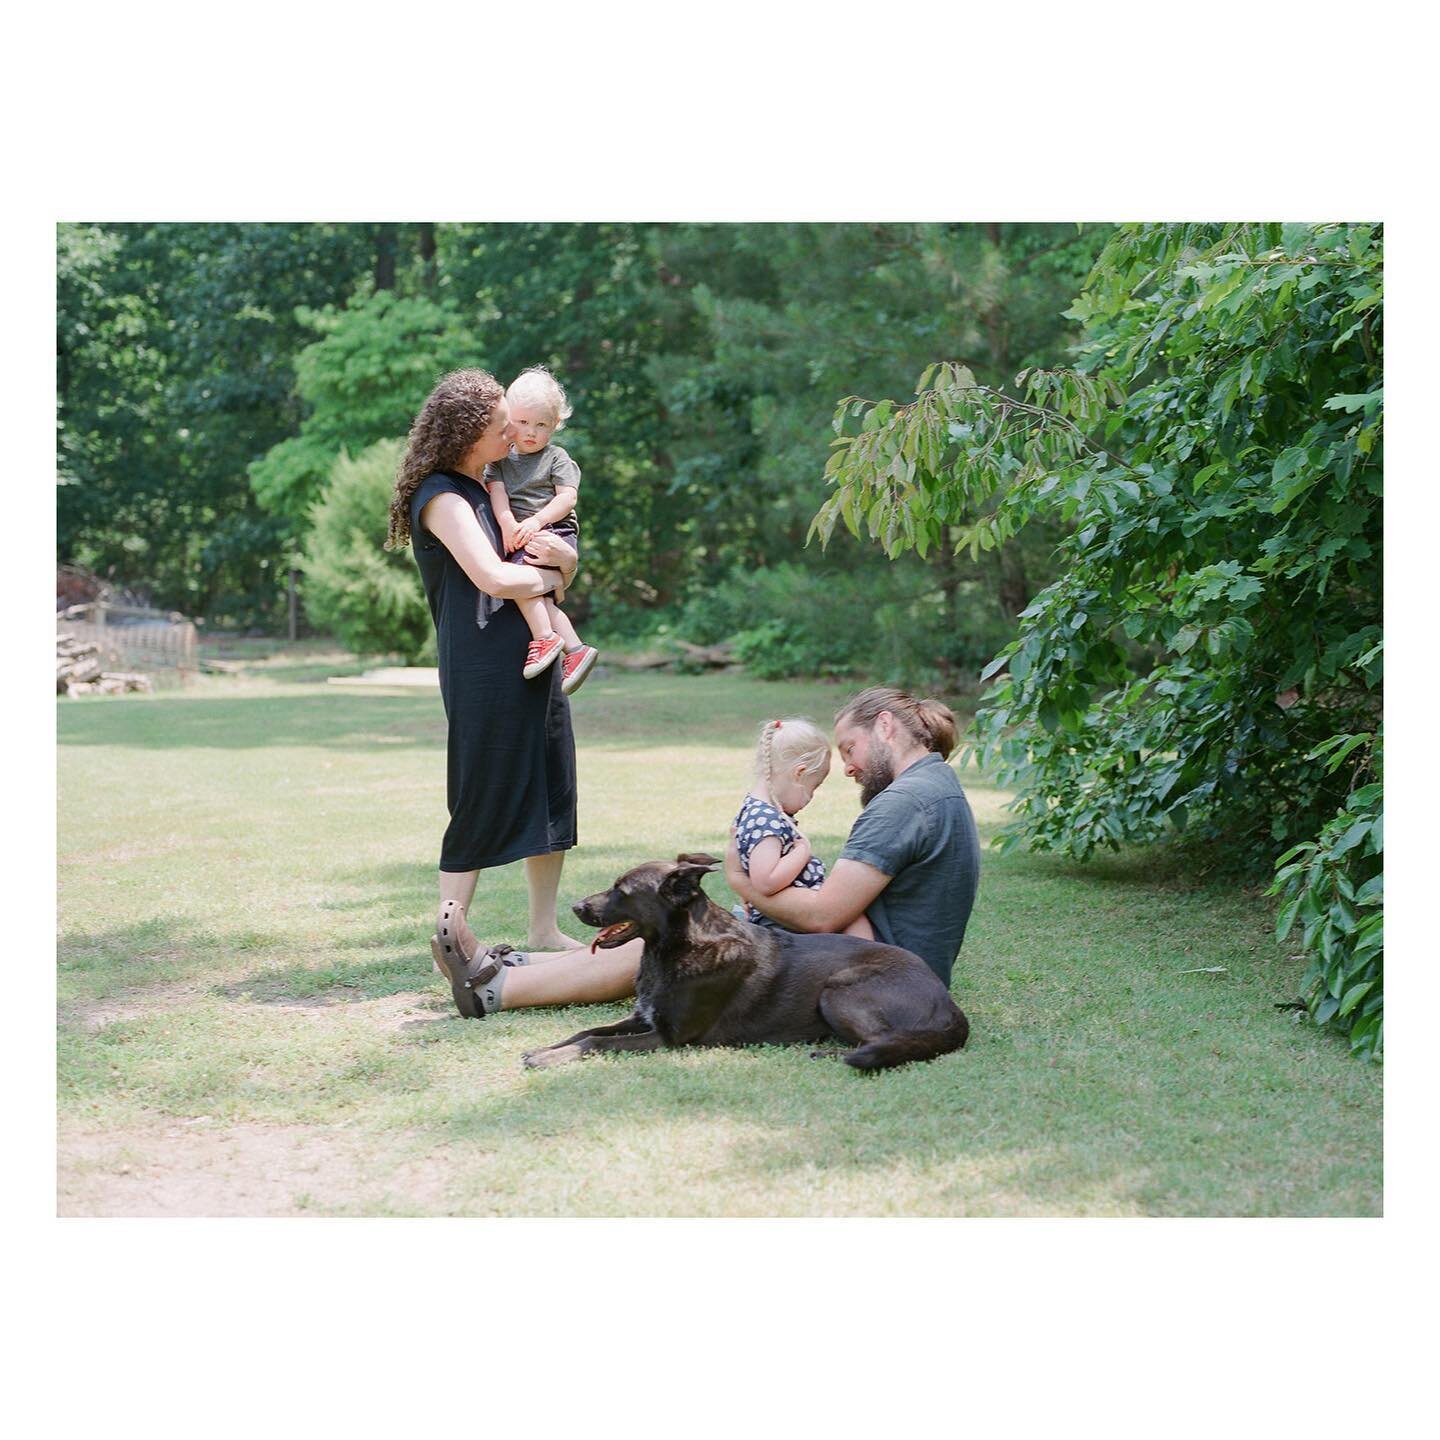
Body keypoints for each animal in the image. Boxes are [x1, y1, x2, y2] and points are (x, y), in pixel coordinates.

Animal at [518, 852, 967, 1071]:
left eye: (621, 891)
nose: (576, 906)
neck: (672, 951)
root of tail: (948, 1004)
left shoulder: (667, 1037)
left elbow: (595, 1042)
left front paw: (549, 1059)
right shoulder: (642, 1018)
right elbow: (586, 1031)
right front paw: (547, 1049)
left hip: (839, 989)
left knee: (880, 1041)